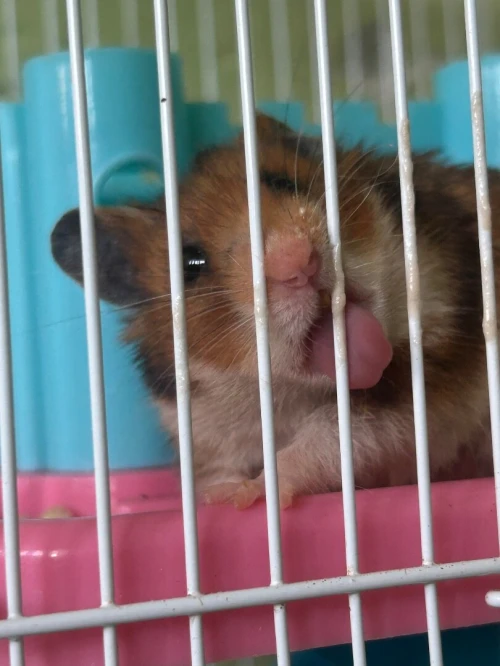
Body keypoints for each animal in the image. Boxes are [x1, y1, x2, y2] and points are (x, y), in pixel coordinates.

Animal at [50, 113, 496, 509]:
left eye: (282, 182)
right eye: (190, 263)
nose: (298, 261)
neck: (286, 395)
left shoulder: (419, 378)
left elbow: (330, 440)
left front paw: (248, 495)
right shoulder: (202, 429)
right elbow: (220, 471)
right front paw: (216, 496)